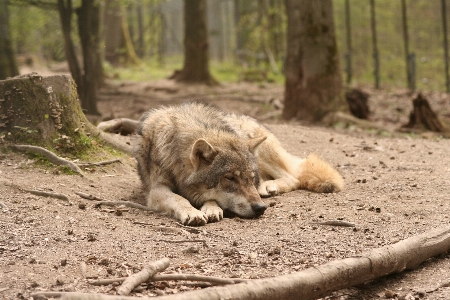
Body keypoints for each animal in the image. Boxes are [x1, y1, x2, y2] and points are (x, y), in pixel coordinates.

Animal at [134, 102, 344, 226]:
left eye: (250, 178)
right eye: (229, 178)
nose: (260, 208)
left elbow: (208, 197)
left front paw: (211, 208)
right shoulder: (156, 189)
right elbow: (179, 199)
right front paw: (194, 212)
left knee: (293, 178)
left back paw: (268, 186)